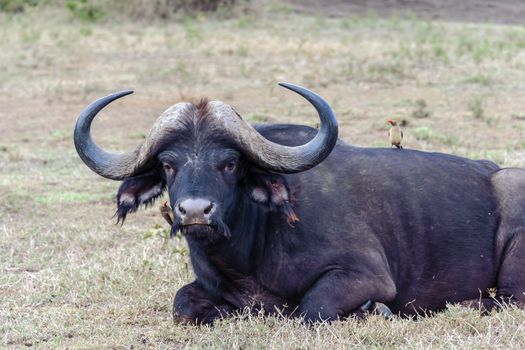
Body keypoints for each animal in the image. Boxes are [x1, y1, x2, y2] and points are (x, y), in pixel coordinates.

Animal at [72, 83, 524, 324]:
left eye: (230, 163)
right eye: (168, 165)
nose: (196, 212)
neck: (248, 253)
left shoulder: (367, 276)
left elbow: (312, 308)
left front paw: (372, 311)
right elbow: (182, 304)